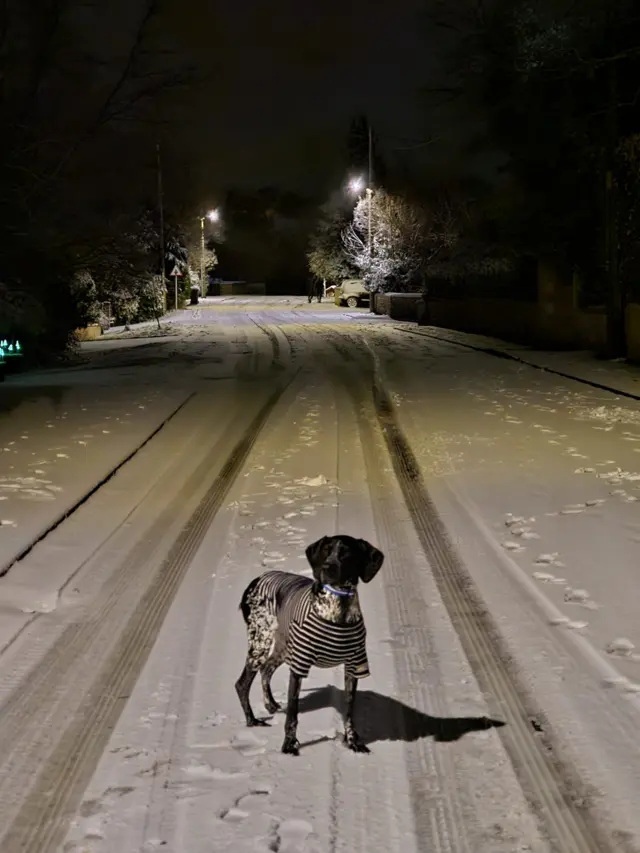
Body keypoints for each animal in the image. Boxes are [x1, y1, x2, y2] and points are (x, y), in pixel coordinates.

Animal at [236, 536, 382, 756]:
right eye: (326, 550)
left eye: (347, 553)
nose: (327, 567)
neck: (338, 609)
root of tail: (256, 580)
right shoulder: (299, 666)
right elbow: (293, 715)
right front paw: (289, 745)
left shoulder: (354, 665)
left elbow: (349, 713)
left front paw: (352, 742)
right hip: (260, 644)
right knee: (242, 684)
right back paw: (252, 720)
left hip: (282, 647)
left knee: (266, 670)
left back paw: (270, 704)